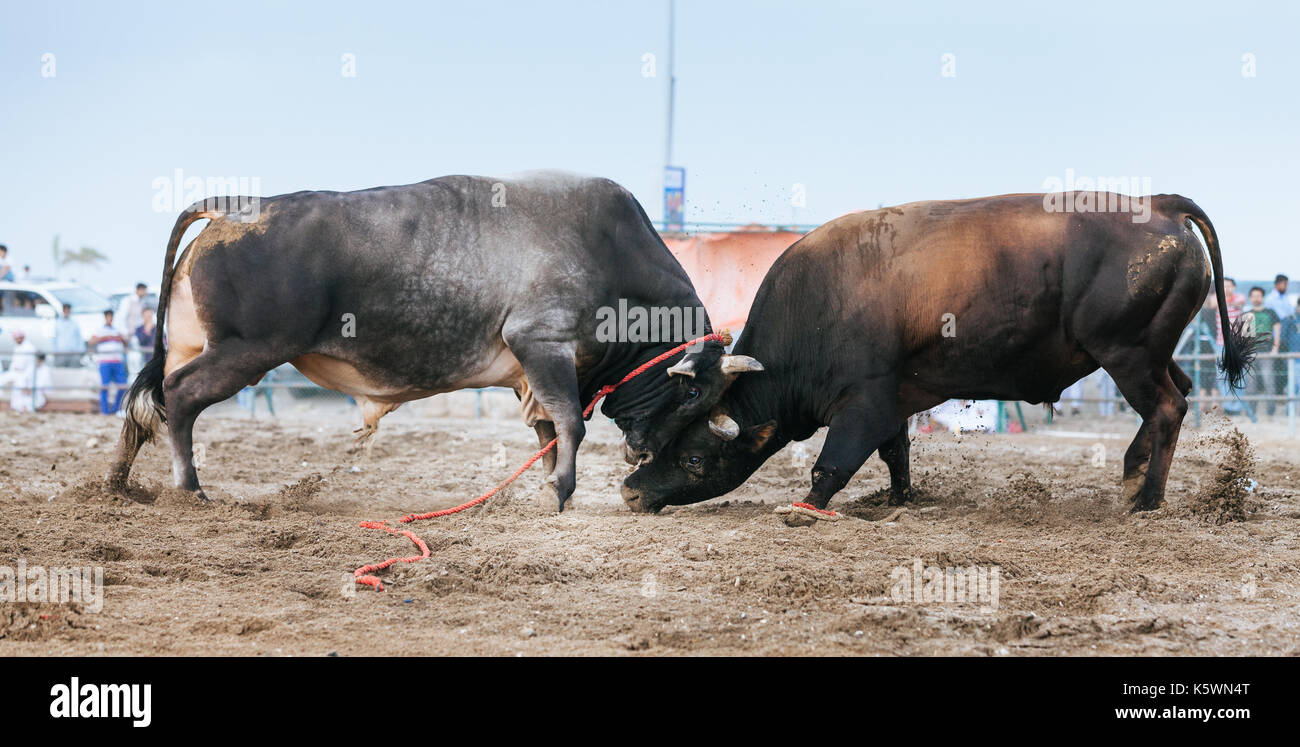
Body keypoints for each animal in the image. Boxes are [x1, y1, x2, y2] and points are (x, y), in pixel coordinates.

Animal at [111, 171, 764, 509]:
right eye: (691, 393)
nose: (642, 452)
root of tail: (238, 208)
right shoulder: (543, 345)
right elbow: (569, 424)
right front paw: (563, 491)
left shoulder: (531, 373)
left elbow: (549, 432)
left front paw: (554, 489)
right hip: (246, 350)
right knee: (180, 398)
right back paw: (190, 489)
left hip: (200, 344)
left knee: (148, 402)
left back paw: (118, 482)